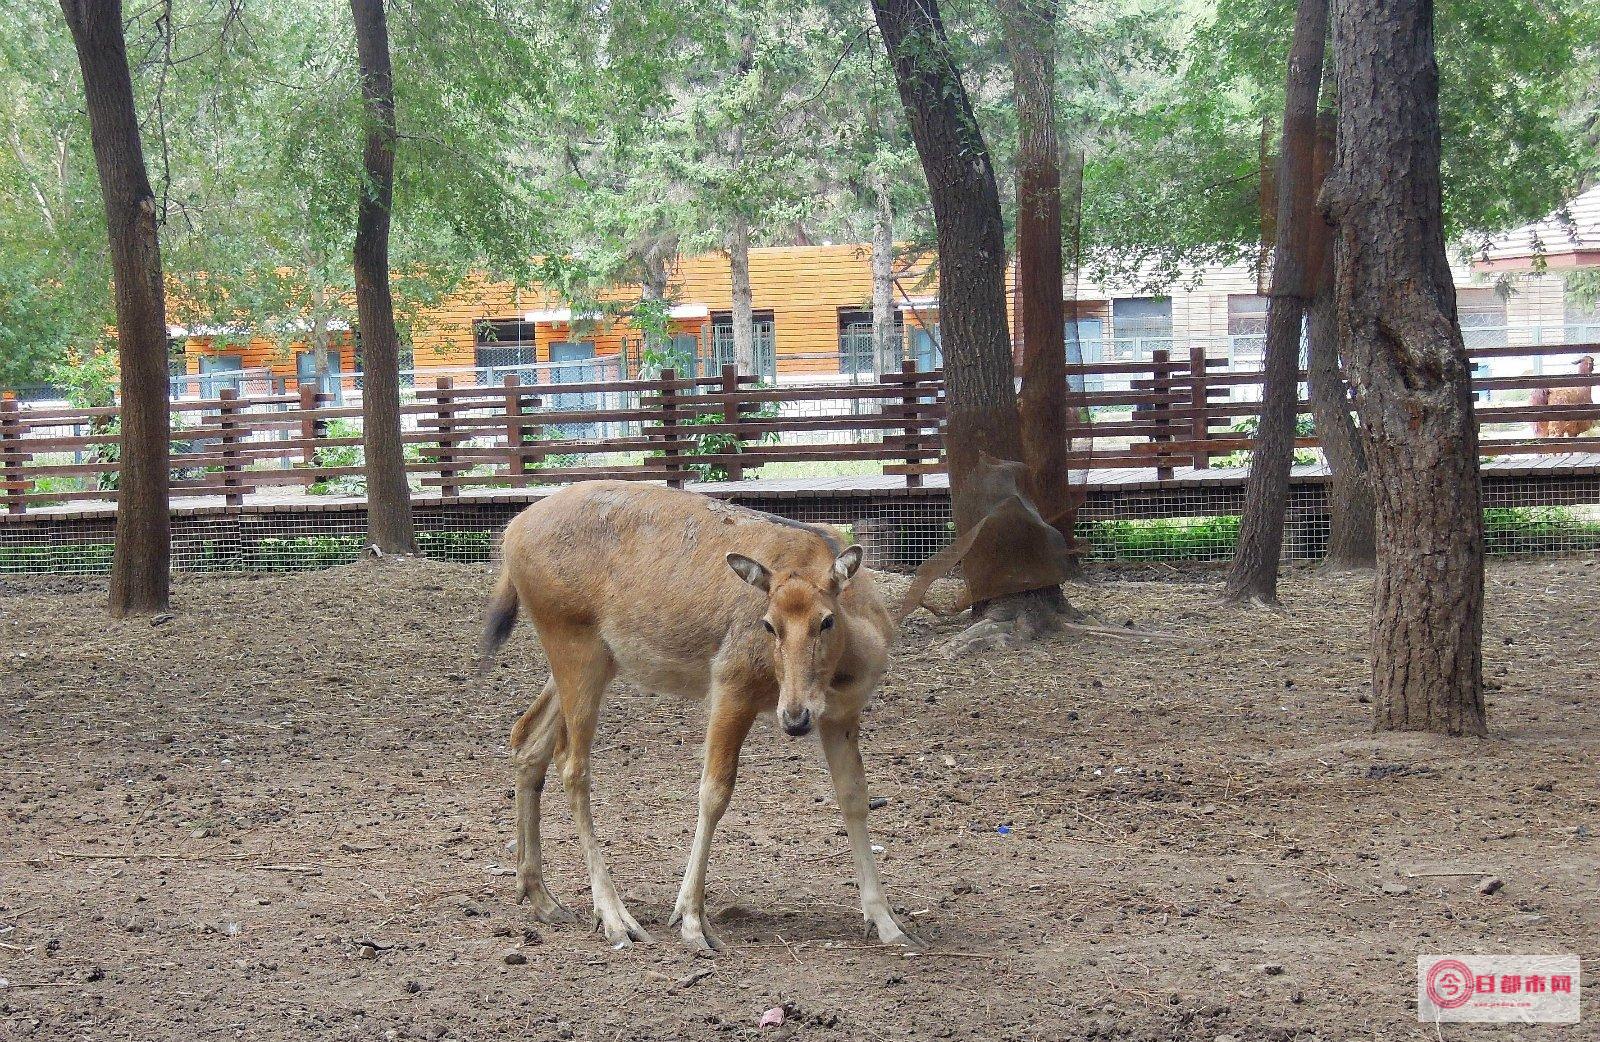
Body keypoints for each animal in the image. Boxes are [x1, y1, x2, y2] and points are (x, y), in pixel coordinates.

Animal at [480, 480, 921, 953]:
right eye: (768, 624)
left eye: (825, 621)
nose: (794, 717)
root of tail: (510, 534)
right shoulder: (730, 683)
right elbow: (714, 792)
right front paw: (691, 920)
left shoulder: (843, 712)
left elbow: (855, 795)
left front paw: (888, 921)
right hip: (573, 642)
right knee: (573, 765)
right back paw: (615, 917)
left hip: (595, 659)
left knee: (527, 738)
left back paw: (542, 897)